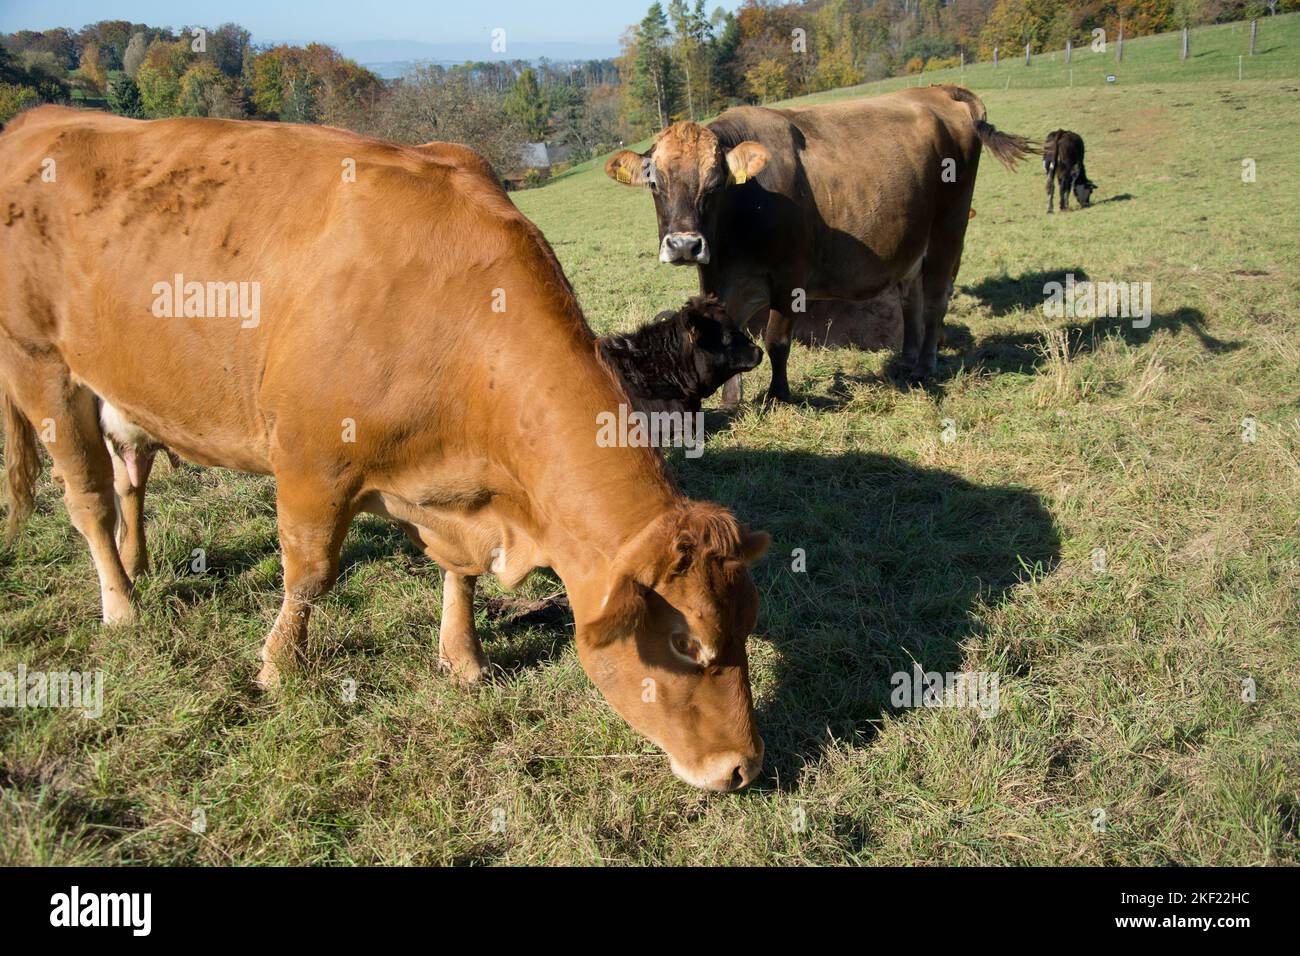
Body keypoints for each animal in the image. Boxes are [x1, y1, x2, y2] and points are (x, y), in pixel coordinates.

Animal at [0, 104, 769, 790]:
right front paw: (277, 668)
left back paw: (138, 562)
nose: (742, 767)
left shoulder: (453, 489)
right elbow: (309, 574)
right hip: (42, 368)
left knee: (130, 475)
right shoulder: (311, 463)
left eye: (747, 627)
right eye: (686, 644)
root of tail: (38, 121)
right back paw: (122, 605)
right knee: (91, 500)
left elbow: (459, 571)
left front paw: (462, 658)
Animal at [603, 83, 1029, 403]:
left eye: (715, 183)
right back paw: (906, 361)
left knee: (936, 300)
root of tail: (938, 91)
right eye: (655, 183)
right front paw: (730, 402)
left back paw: (924, 367)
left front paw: (777, 395)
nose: (684, 246)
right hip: (911, 244)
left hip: (948, 230)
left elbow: (776, 341)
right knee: (911, 299)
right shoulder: (720, 281)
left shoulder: (789, 279)